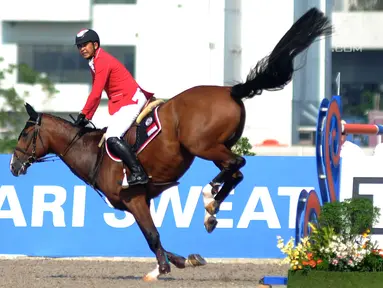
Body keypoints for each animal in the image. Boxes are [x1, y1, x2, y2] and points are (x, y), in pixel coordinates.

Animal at [9, 7, 332, 282]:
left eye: (24, 135)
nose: (13, 165)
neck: (91, 152)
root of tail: (231, 91)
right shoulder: (144, 200)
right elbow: (156, 237)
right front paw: (182, 260)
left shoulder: (135, 199)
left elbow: (152, 236)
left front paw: (163, 268)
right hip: (215, 147)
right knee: (235, 171)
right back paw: (211, 210)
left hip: (203, 146)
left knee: (235, 165)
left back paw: (209, 198)